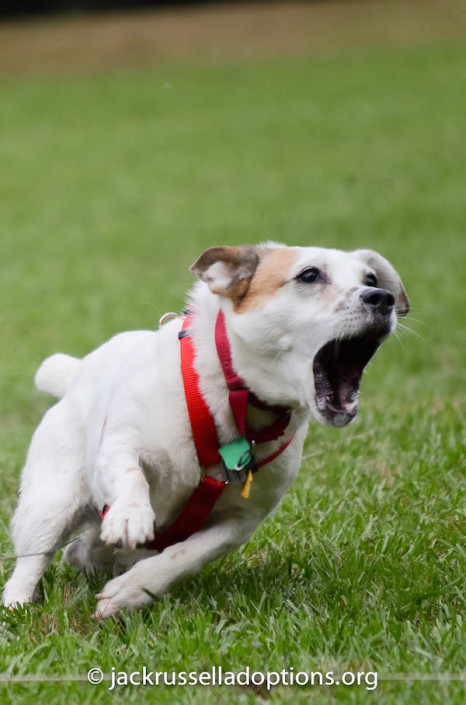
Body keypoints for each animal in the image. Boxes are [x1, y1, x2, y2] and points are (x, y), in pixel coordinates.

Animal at [0, 243, 408, 616]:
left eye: (371, 279)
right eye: (309, 275)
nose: (382, 298)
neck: (236, 406)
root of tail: (74, 374)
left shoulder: (241, 520)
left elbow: (185, 555)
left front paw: (132, 591)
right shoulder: (120, 443)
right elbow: (129, 471)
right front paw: (131, 513)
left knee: (82, 551)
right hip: (50, 502)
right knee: (33, 559)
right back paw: (17, 605)